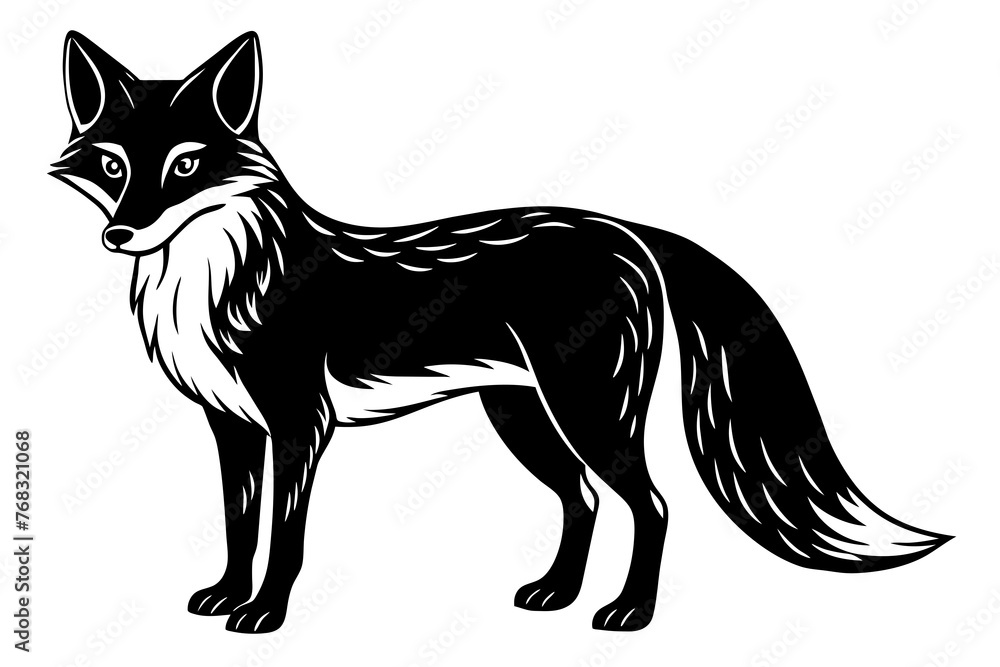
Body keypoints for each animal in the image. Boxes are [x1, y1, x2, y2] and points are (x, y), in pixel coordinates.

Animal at [52, 31, 951, 634]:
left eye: (186, 166)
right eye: (113, 167)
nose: (121, 235)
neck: (219, 278)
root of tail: (626, 231)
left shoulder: (300, 425)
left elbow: (285, 535)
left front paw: (266, 611)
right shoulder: (231, 423)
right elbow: (239, 525)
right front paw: (223, 597)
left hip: (587, 412)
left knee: (651, 503)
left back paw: (629, 610)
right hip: (522, 417)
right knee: (584, 499)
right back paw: (557, 593)